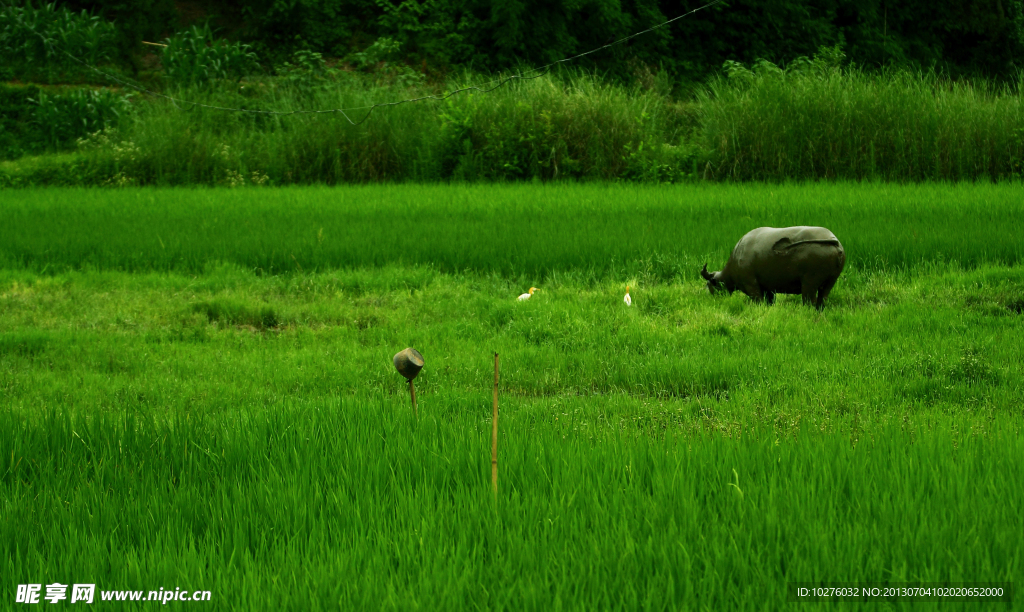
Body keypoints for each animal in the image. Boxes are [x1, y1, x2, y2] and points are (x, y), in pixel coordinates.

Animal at [700, 226, 843, 311]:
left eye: (709, 284)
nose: (705, 296)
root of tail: (834, 241)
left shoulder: (751, 285)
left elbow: (758, 300)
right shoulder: (768, 289)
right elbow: (770, 301)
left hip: (810, 282)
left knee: (809, 301)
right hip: (830, 282)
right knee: (822, 299)